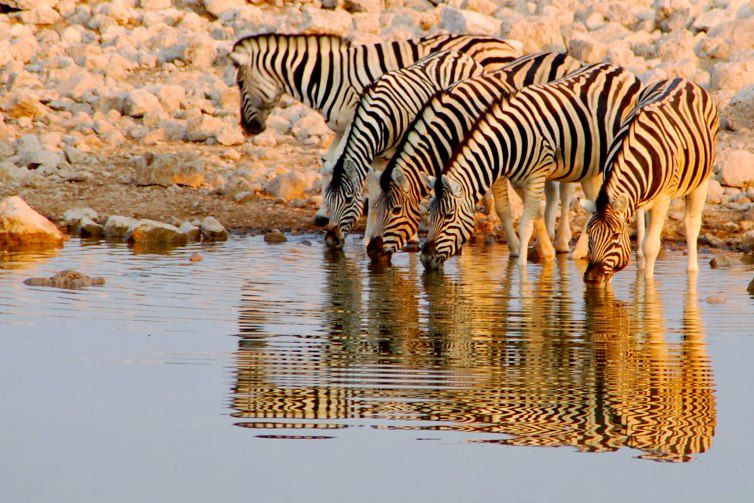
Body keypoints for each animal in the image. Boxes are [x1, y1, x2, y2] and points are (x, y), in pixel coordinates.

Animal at [231, 33, 524, 161]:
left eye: (239, 83)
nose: (245, 130)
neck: (330, 76)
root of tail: (505, 45)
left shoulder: (355, 118)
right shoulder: (342, 127)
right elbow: (330, 163)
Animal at [312, 48, 484, 249]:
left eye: (348, 199)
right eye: (328, 197)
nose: (331, 241)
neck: (378, 119)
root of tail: (459, 53)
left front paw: (412, 237)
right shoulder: (375, 158)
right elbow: (375, 196)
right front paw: (367, 238)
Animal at [364, 53, 580, 262]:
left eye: (396, 210)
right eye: (376, 207)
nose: (372, 251)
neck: (452, 125)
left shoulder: (495, 160)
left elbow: (502, 208)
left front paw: (516, 249)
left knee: (565, 189)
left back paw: (562, 242)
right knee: (552, 189)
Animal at [420, 64, 636, 272]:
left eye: (448, 216)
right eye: (430, 213)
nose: (425, 258)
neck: (509, 141)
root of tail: (620, 70)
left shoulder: (536, 176)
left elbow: (525, 225)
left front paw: (521, 270)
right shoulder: (518, 180)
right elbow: (536, 216)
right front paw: (547, 253)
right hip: (590, 167)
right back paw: (579, 252)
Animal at [580, 78, 716, 284]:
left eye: (616, 236)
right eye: (589, 235)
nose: (591, 278)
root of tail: (682, 79)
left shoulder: (663, 199)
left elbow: (651, 246)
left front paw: (648, 283)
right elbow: (644, 240)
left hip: (702, 180)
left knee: (691, 224)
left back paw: (692, 270)